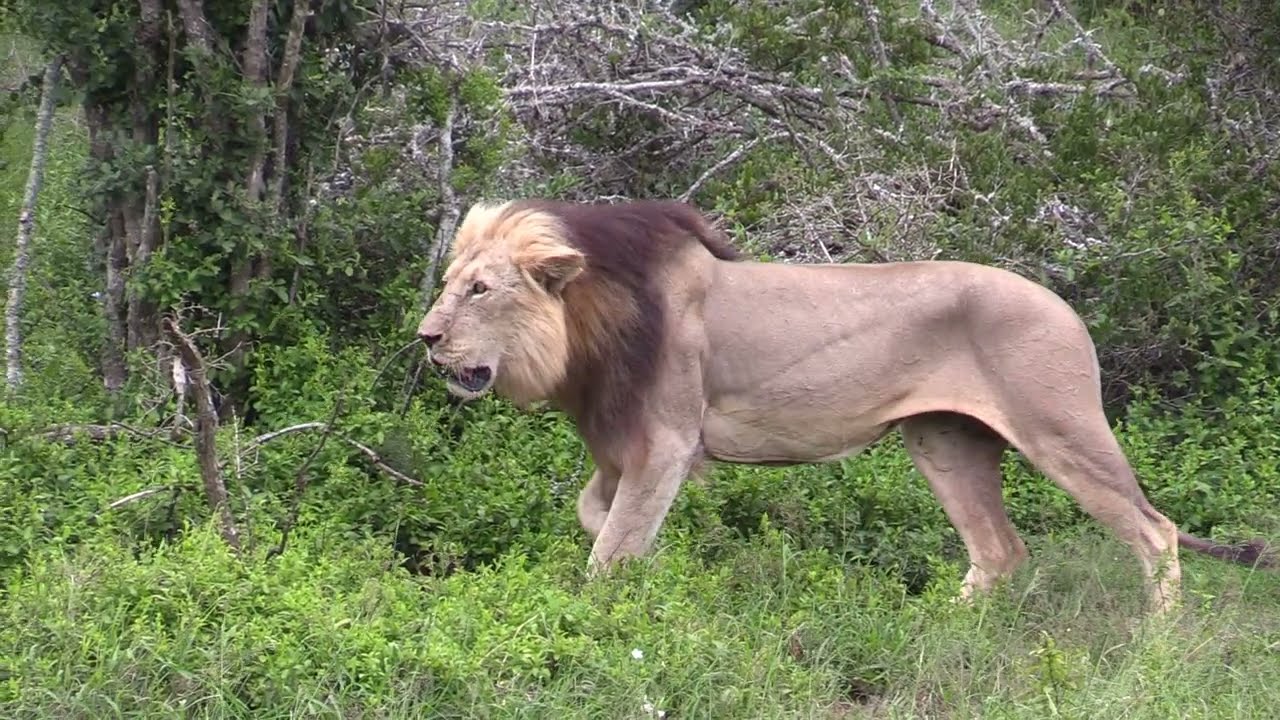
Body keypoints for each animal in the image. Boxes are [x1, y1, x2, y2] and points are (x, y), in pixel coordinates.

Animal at [416, 197, 1274, 614]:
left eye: (480, 289)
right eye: (451, 282)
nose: (426, 338)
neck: (585, 330)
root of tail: (1067, 309)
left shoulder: (664, 439)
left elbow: (610, 550)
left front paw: (603, 616)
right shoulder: (622, 445)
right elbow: (600, 519)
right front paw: (658, 572)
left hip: (1058, 428)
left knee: (1155, 531)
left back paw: (1156, 647)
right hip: (946, 442)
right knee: (1001, 551)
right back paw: (934, 625)